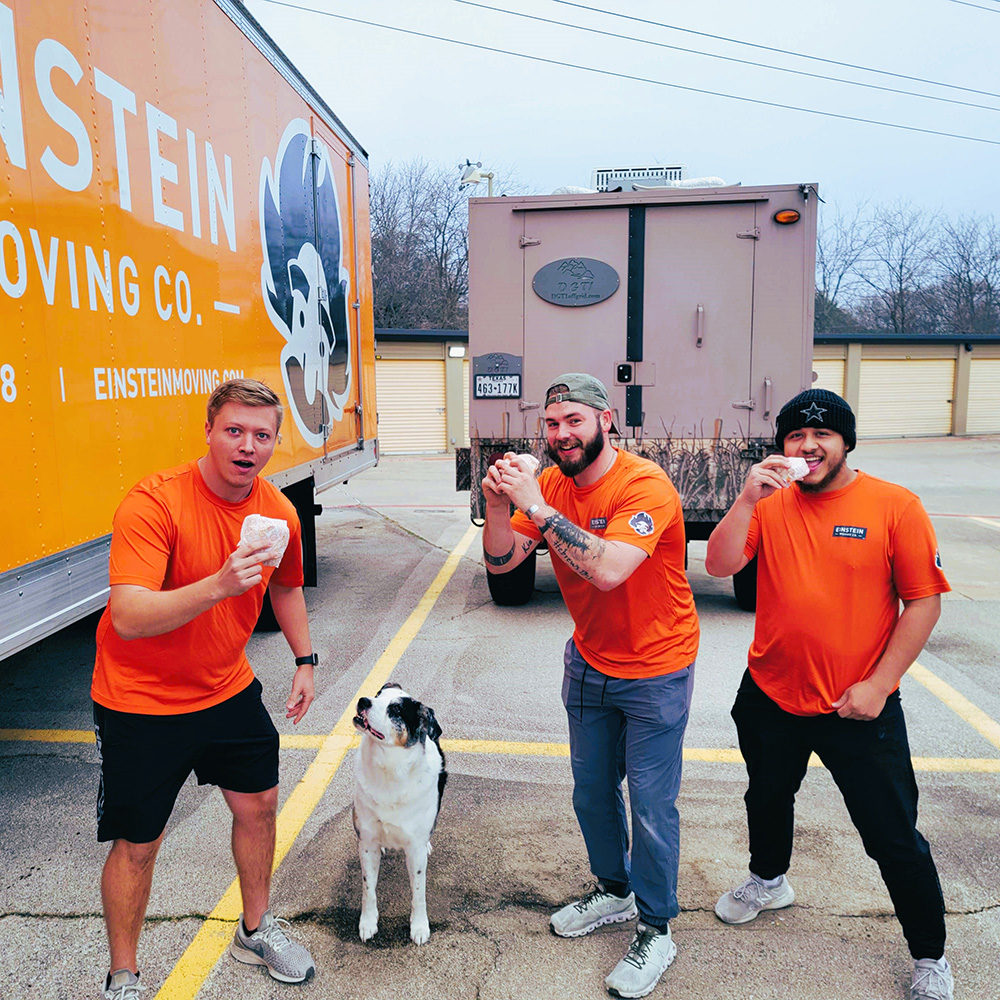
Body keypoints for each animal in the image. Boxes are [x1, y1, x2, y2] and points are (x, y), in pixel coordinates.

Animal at [352, 680, 446, 944]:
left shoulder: (414, 849)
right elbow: (368, 888)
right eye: (377, 695)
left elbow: (418, 891)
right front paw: (368, 922)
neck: (390, 770)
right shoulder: (367, 841)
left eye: (395, 710)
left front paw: (419, 926)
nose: (363, 700)